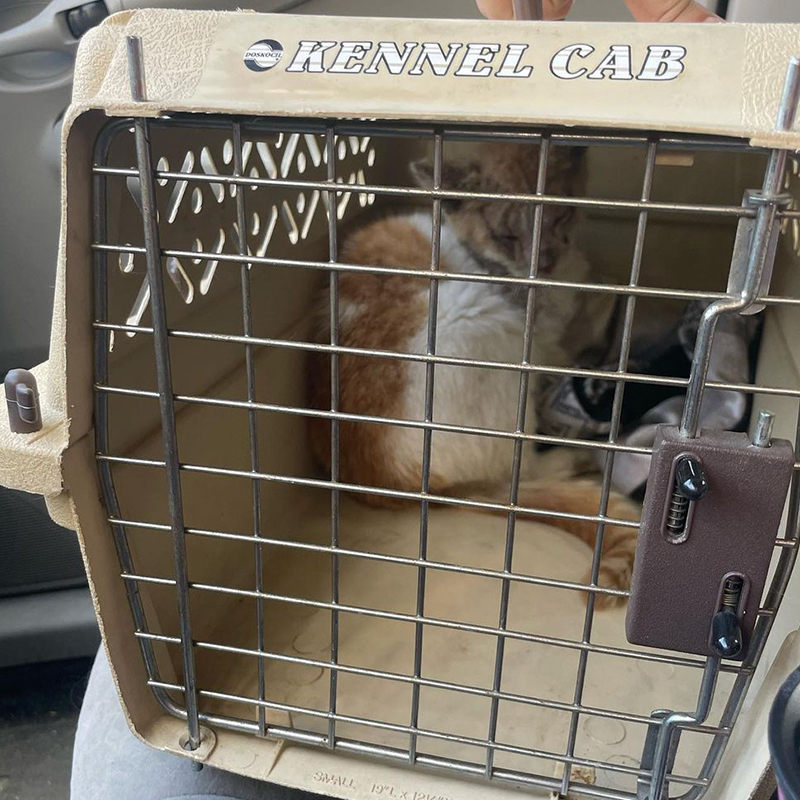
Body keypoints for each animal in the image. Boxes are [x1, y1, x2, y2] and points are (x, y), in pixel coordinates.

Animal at [310, 142, 640, 608]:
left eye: (561, 218)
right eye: (508, 236)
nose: (546, 261)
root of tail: (401, 486)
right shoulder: (537, 344)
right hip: (485, 325)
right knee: (523, 468)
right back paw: (572, 456)